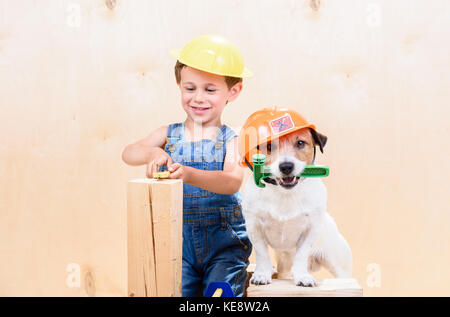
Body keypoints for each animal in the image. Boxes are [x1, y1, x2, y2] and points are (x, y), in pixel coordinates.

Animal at [241, 126, 354, 286]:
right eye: (269, 146)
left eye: (300, 143)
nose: (286, 166)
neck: (285, 194)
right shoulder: (253, 226)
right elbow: (262, 252)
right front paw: (262, 274)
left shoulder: (311, 229)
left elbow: (301, 254)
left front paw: (302, 276)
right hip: (284, 268)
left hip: (339, 264)